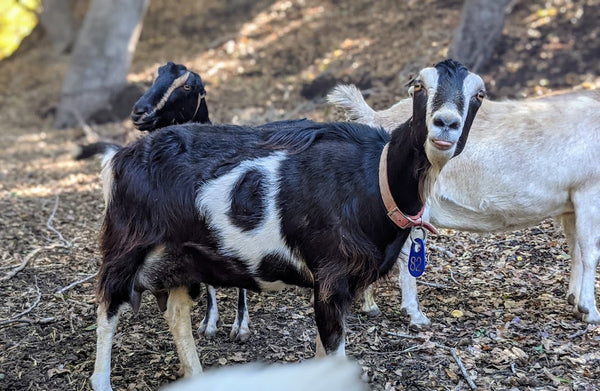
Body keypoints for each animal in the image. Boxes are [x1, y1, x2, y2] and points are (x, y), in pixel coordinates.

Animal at [90, 59, 488, 390]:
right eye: (418, 86)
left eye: (479, 95)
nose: (446, 124)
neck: (374, 178)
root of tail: (120, 158)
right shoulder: (330, 274)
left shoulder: (338, 285)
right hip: (126, 242)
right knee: (108, 305)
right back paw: (102, 380)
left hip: (181, 257)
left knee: (175, 312)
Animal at [328, 85, 600, 328]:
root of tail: (376, 116)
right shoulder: (589, 191)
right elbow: (590, 253)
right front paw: (589, 310)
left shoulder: (571, 204)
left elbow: (576, 251)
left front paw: (574, 300)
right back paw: (416, 316)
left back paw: (371, 306)